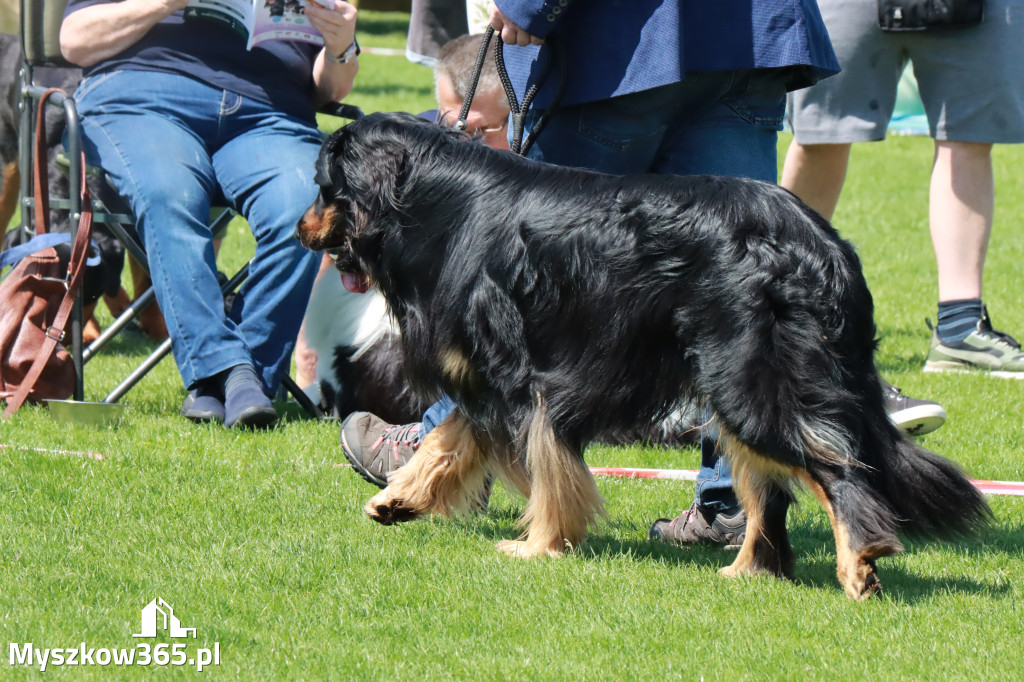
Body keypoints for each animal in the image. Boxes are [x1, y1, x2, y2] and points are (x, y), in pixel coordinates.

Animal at [299, 112, 991, 602]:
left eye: (322, 187)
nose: (304, 230)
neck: (445, 205)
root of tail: (825, 244)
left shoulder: (525, 377)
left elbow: (545, 467)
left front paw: (540, 544)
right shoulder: (492, 378)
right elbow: (451, 435)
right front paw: (401, 497)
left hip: (749, 380)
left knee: (834, 468)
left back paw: (857, 562)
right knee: (770, 490)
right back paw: (748, 571)